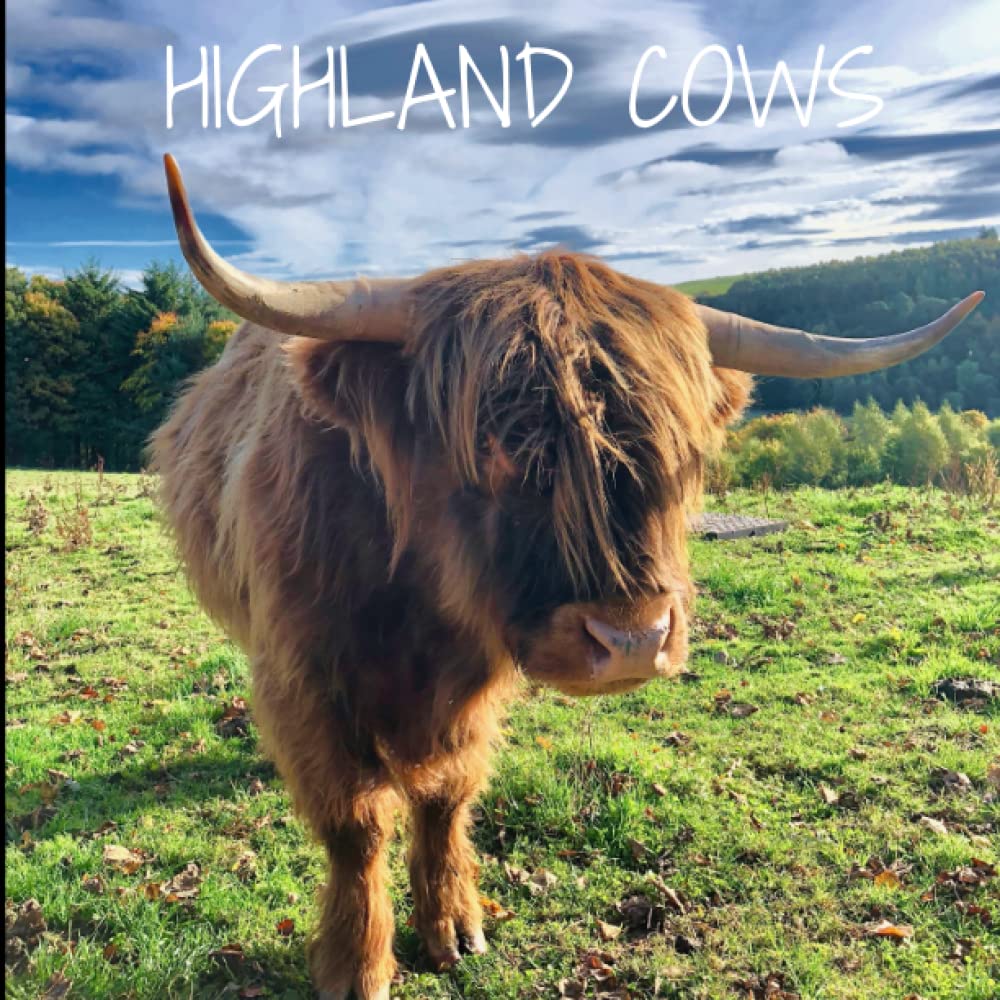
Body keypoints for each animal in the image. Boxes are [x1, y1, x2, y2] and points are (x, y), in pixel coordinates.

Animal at [152, 154, 982, 1000]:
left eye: (682, 454)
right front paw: (358, 962)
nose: (632, 639)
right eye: (492, 446)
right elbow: (355, 823)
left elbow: (447, 795)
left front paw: (453, 925)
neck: (419, 610)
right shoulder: (310, 675)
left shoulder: (472, 688)